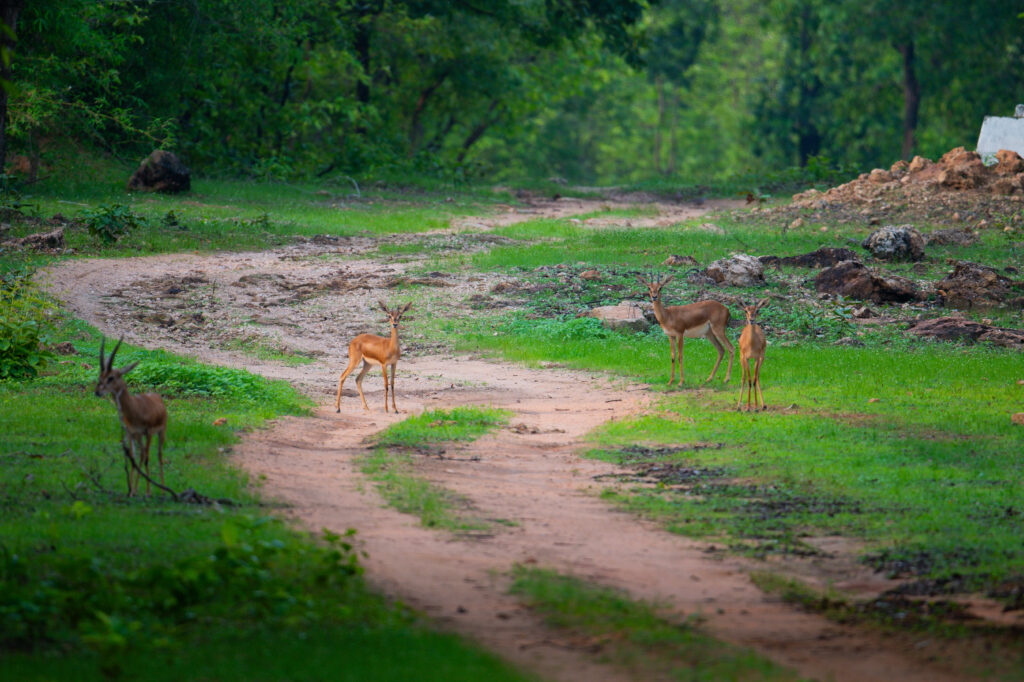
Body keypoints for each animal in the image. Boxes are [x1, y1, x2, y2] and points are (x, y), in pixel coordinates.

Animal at [96, 333, 169, 493]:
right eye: (100, 377)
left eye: (111, 377)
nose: (97, 392)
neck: (136, 409)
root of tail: (158, 397)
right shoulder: (131, 433)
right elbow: (133, 458)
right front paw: (131, 491)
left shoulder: (148, 431)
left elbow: (146, 458)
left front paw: (147, 492)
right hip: (140, 436)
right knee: (142, 455)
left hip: (160, 433)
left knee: (158, 456)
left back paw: (161, 489)